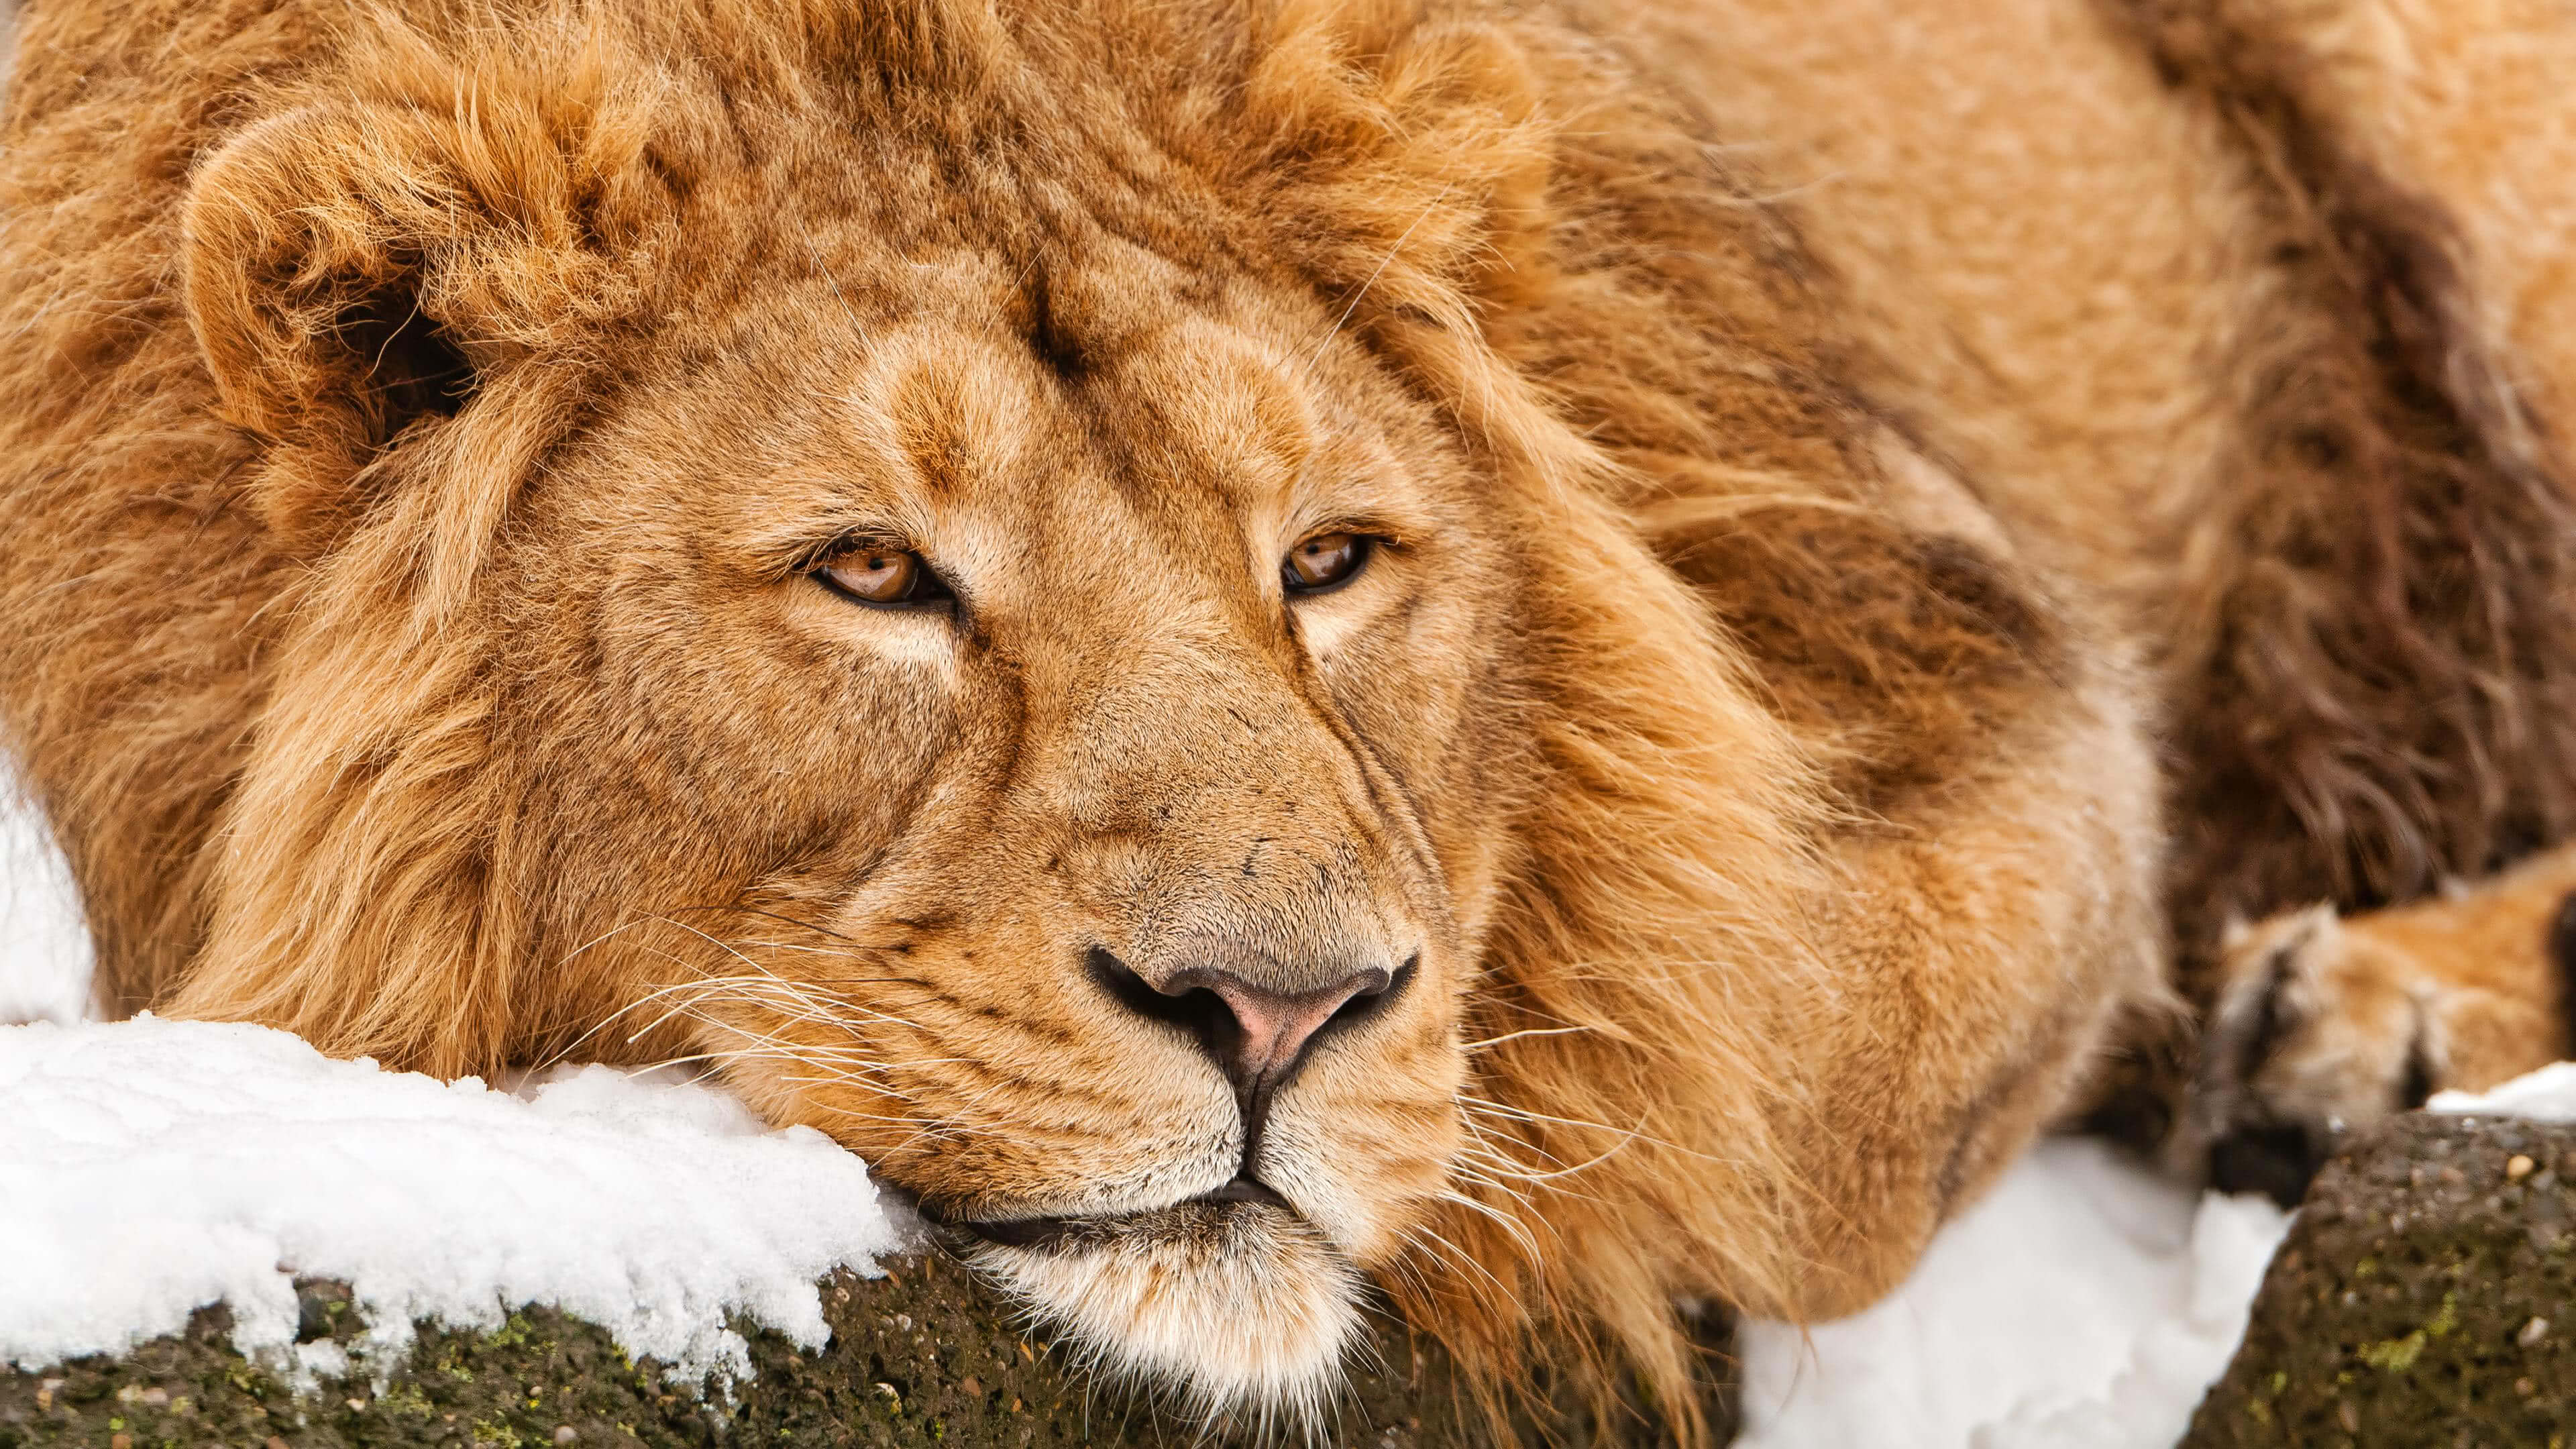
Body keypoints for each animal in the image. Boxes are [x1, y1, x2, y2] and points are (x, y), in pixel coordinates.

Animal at [4, 0, 2573, 1438]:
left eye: (1327, 562)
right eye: (875, 574)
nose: (1280, 1017)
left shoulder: (1967, 629)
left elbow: (1792, 1085)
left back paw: (2362, 1029)